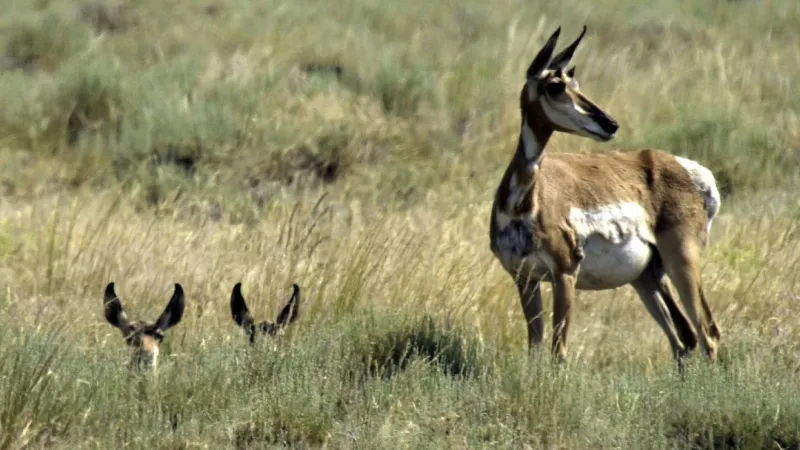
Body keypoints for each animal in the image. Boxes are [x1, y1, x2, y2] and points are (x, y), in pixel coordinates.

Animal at [489, 25, 722, 363]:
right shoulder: (525, 278)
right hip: (647, 278)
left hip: (682, 261)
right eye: (555, 85)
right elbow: (535, 347)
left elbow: (558, 352)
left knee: (708, 334)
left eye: (576, 82)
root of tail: (689, 169)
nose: (610, 124)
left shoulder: (565, 274)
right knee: (684, 339)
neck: (523, 203)